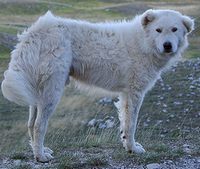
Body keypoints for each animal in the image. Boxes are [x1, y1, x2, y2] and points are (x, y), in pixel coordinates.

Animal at [1, 9, 194, 162]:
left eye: (175, 29)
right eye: (158, 30)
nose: (167, 45)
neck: (143, 42)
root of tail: (37, 29)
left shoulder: (125, 95)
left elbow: (124, 123)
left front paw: (127, 145)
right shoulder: (135, 93)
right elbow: (131, 123)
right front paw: (133, 149)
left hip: (37, 92)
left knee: (30, 124)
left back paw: (39, 150)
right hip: (52, 91)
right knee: (38, 125)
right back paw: (40, 156)